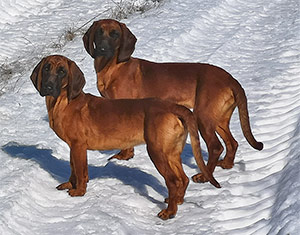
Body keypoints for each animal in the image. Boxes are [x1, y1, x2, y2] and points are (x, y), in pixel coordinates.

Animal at [29, 55, 220, 220]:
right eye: (46, 68)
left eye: (62, 71)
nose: (47, 87)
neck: (63, 103)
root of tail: (173, 107)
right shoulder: (72, 146)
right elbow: (72, 168)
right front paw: (69, 184)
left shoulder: (78, 146)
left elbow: (81, 171)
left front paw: (79, 192)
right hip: (171, 152)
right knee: (183, 179)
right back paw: (177, 202)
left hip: (157, 152)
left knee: (173, 181)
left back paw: (169, 212)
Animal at [83, 19, 264, 183]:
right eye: (99, 32)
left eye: (115, 34)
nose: (102, 49)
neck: (112, 67)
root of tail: (230, 79)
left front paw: (125, 156)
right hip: (218, 118)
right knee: (232, 143)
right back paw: (226, 164)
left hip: (203, 116)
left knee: (216, 147)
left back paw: (204, 176)